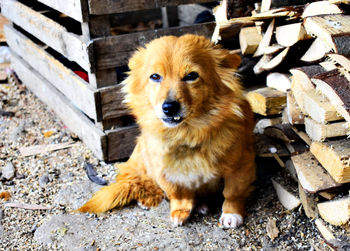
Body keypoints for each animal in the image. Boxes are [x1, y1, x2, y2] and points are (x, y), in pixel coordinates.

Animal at [78, 34, 254, 228]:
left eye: (191, 76)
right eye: (155, 77)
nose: (169, 107)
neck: (186, 135)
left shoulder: (241, 166)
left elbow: (232, 193)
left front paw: (232, 213)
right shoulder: (164, 172)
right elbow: (178, 194)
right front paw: (180, 211)